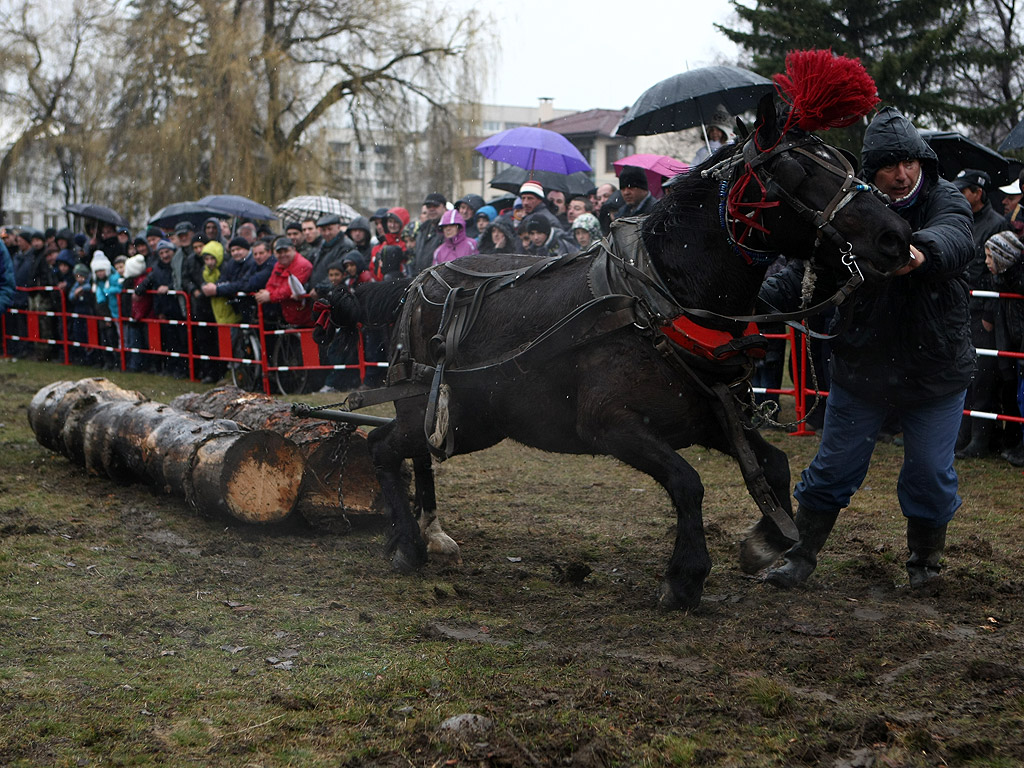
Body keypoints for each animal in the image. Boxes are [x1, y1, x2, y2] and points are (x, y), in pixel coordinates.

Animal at [335, 97, 913, 614]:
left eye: (849, 163)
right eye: (796, 169)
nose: (897, 236)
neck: (661, 298)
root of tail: (417, 282)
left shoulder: (709, 415)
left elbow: (773, 464)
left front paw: (764, 542)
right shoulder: (611, 425)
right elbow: (688, 482)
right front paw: (684, 578)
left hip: (473, 420)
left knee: (408, 451)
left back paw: (422, 533)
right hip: (441, 410)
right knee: (383, 447)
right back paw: (409, 544)